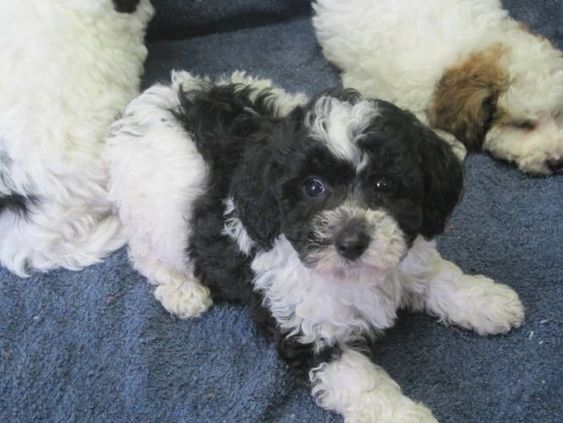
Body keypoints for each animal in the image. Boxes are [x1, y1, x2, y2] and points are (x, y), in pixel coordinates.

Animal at [107, 71, 524, 422]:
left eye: (384, 184)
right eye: (313, 187)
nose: (351, 242)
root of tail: (156, 102)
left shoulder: (406, 258)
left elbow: (440, 276)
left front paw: (486, 301)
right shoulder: (306, 329)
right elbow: (360, 381)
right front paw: (399, 414)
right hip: (159, 218)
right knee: (146, 254)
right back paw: (183, 291)